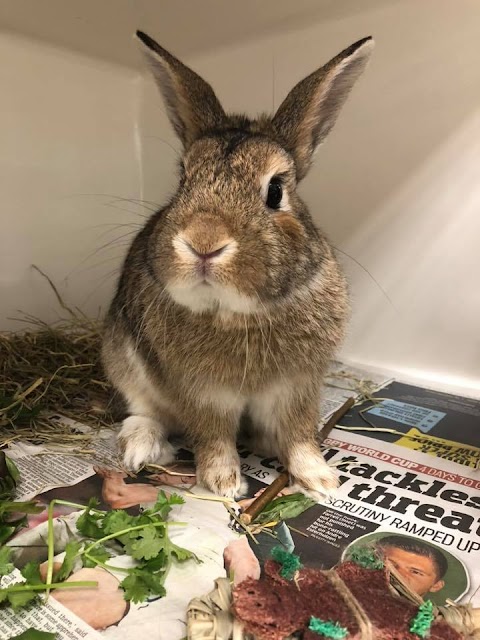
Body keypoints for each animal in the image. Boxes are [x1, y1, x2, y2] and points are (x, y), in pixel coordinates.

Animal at [103, 28, 376, 500]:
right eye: (183, 179)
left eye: (276, 190)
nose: (204, 242)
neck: (235, 313)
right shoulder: (202, 394)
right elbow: (213, 437)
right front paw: (223, 484)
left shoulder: (298, 388)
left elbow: (300, 436)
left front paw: (321, 482)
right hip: (121, 356)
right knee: (143, 411)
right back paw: (142, 449)